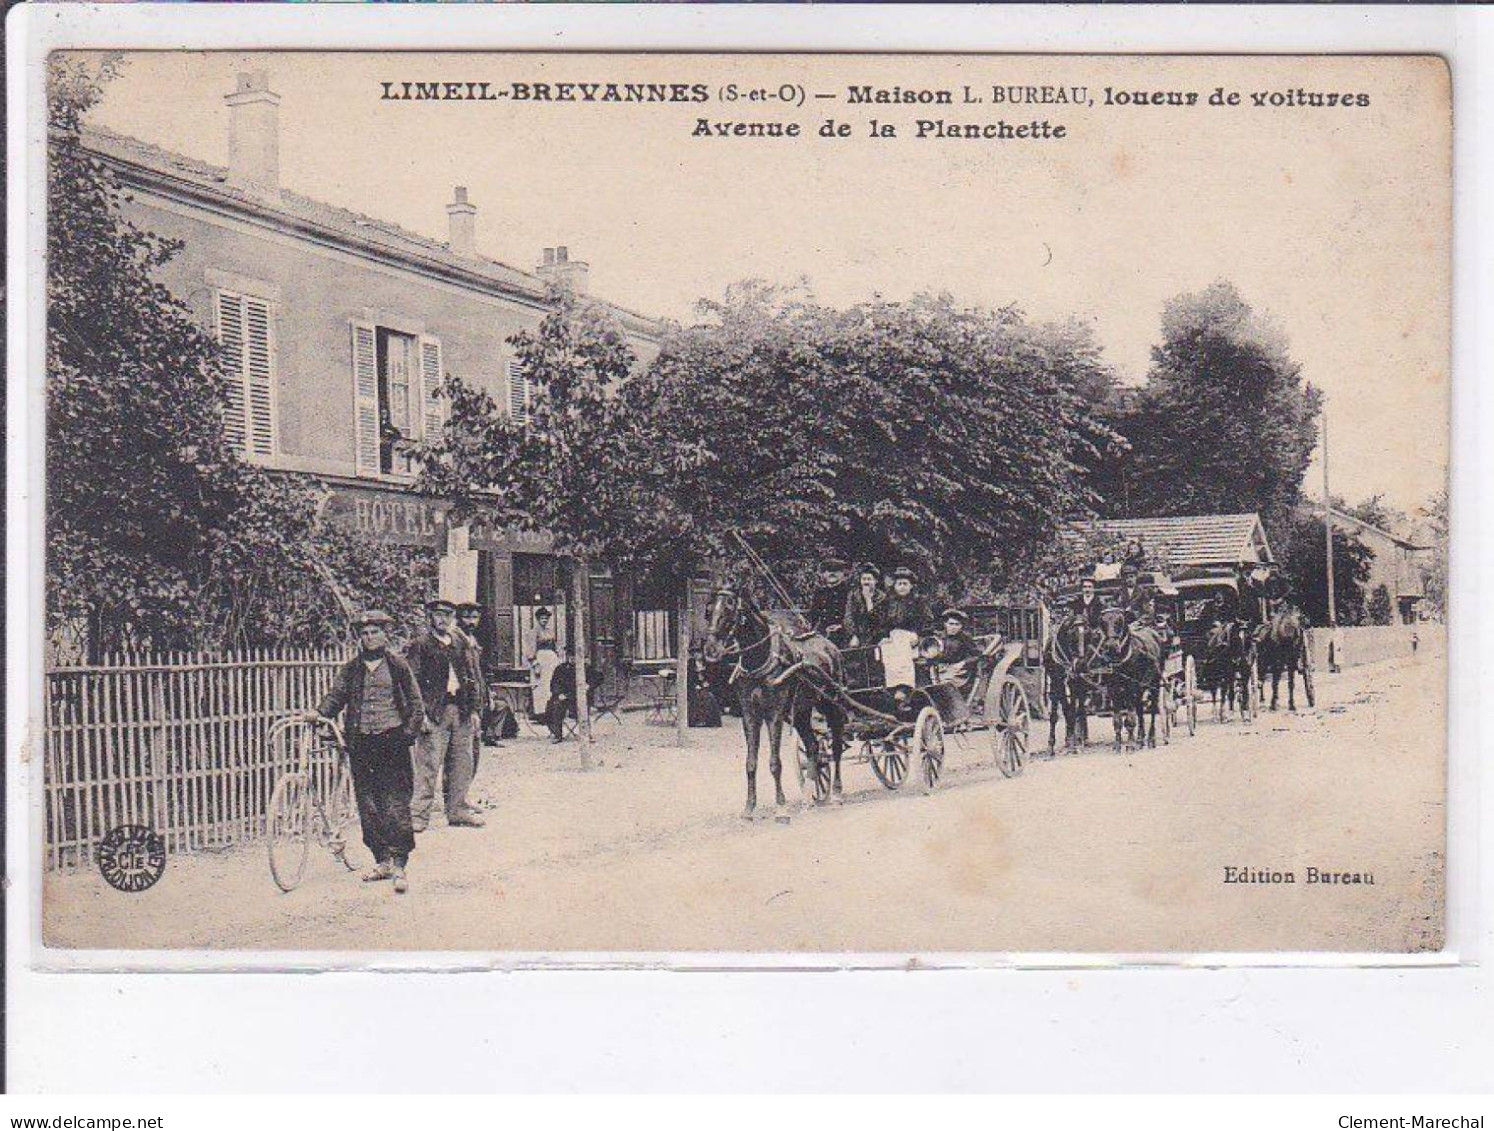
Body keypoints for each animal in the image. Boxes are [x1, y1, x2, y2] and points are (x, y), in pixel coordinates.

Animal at [702, 582, 848, 818]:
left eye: (729, 609)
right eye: (708, 610)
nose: (710, 650)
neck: (760, 660)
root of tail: (831, 646)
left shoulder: (774, 714)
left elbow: (774, 762)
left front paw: (781, 807)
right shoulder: (749, 714)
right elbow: (750, 763)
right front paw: (749, 807)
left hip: (832, 704)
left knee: (835, 746)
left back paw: (836, 793)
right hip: (801, 712)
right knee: (813, 746)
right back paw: (807, 797)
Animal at [1045, 612, 1093, 753]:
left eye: (1088, 633)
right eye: (1072, 635)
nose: (1082, 665)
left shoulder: (1076, 683)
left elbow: (1075, 710)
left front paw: (1074, 742)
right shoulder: (1056, 682)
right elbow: (1059, 713)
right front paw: (1051, 745)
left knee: (1080, 708)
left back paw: (1082, 738)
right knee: (1069, 707)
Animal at [1093, 609, 1159, 750]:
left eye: (1120, 621)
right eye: (1103, 622)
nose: (1111, 646)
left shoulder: (1131, 688)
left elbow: (1129, 719)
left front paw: (1130, 745)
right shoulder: (1113, 690)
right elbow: (1117, 720)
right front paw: (1118, 745)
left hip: (1154, 684)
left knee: (1152, 711)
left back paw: (1151, 739)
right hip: (1140, 688)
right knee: (1140, 710)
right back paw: (1140, 739)